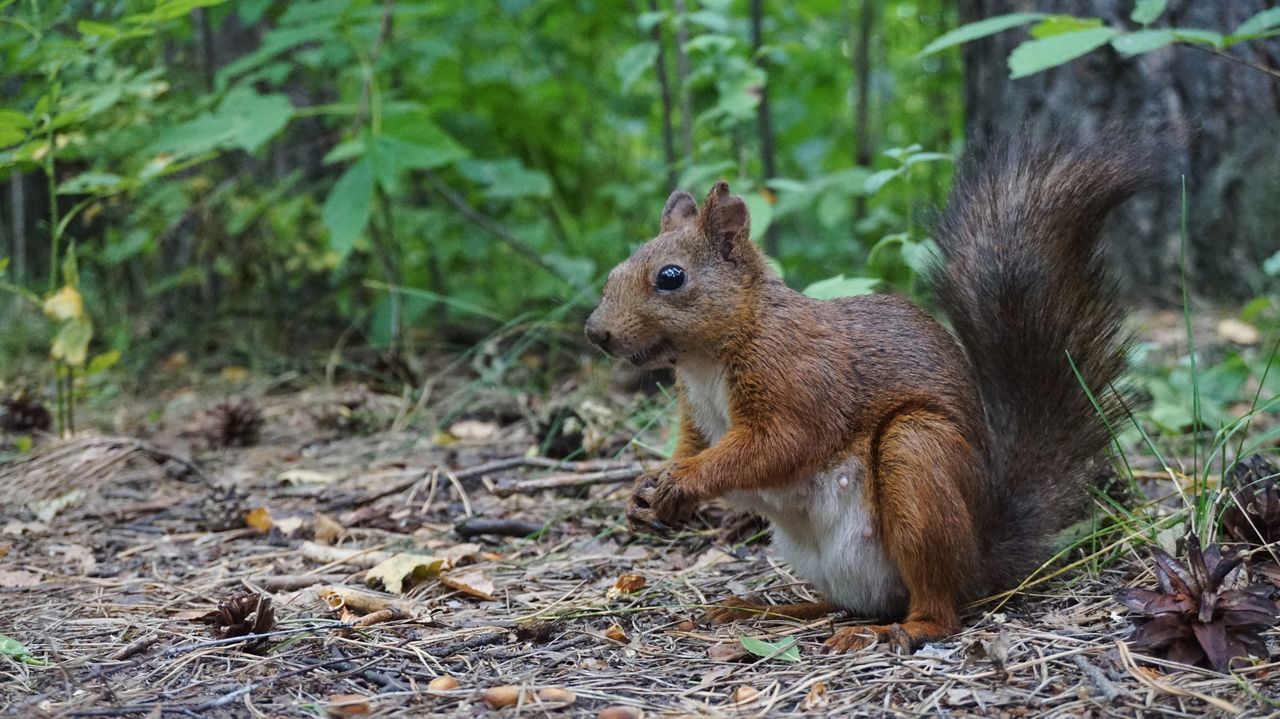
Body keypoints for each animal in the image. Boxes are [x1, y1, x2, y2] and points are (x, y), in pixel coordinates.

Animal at [586, 134, 1157, 649]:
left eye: (671, 277)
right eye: (614, 272)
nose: (596, 333)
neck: (707, 360)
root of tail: (981, 556)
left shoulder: (798, 381)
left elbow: (776, 445)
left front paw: (680, 483)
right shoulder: (696, 411)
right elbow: (693, 445)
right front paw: (645, 489)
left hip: (917, 456)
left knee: (936, 605)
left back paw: (900, 630)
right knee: (844, 602)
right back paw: (765, 609)